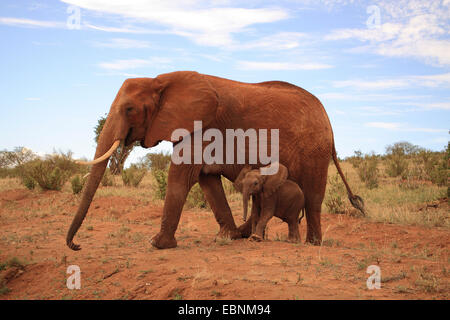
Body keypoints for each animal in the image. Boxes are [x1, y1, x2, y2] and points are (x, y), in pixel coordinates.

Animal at [66, 71, 362, 251]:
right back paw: (251, 234)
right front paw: (226, 237)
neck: (160, 80)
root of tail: (328, 121)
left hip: (315, 150)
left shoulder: (200, 126)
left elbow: (181, 176)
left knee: (313, 198)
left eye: (129, 109)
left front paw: (157, 244)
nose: (76, 246)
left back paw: (312, 244)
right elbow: (207, 181)